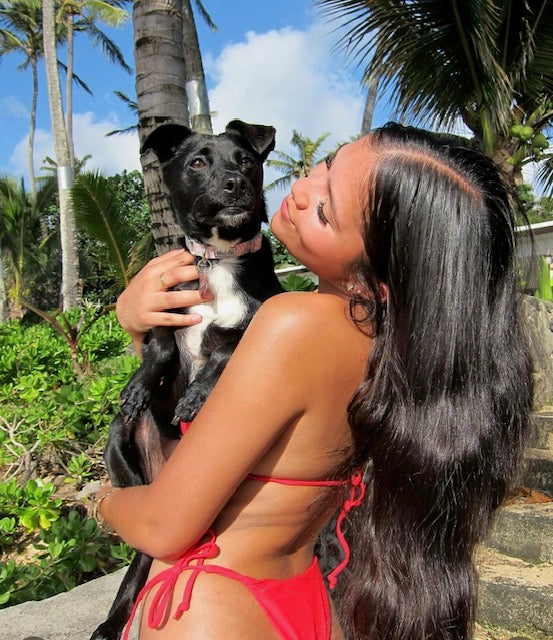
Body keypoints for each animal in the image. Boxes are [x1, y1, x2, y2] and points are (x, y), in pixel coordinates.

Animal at [91, 120, 282, 640]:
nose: (236, 184)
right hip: (121, 446)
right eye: (197, 162)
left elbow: (225, 351)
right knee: (141, 546)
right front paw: (140, 384)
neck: (217, 259)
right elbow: (158, 346)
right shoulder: (163, 304)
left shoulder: (259, 319)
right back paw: (112, 621)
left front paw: (196, 396)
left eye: (247, 160)